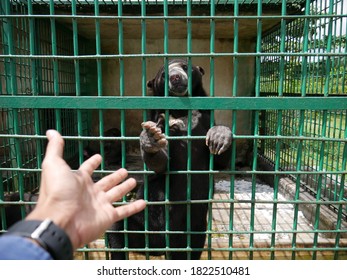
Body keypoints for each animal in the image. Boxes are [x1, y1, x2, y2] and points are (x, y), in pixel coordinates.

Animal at [108, 59, 234, 260]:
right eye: (163, 74)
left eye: (185, 66)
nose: (175, 77)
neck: (179, 110)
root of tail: (160, 246)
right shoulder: (161, 122)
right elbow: (161, 162)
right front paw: (150, 138)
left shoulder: (205, 118)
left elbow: (220, 161)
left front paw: (220, 136)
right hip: (140, 220)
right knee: (117, 230)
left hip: (195, 230)